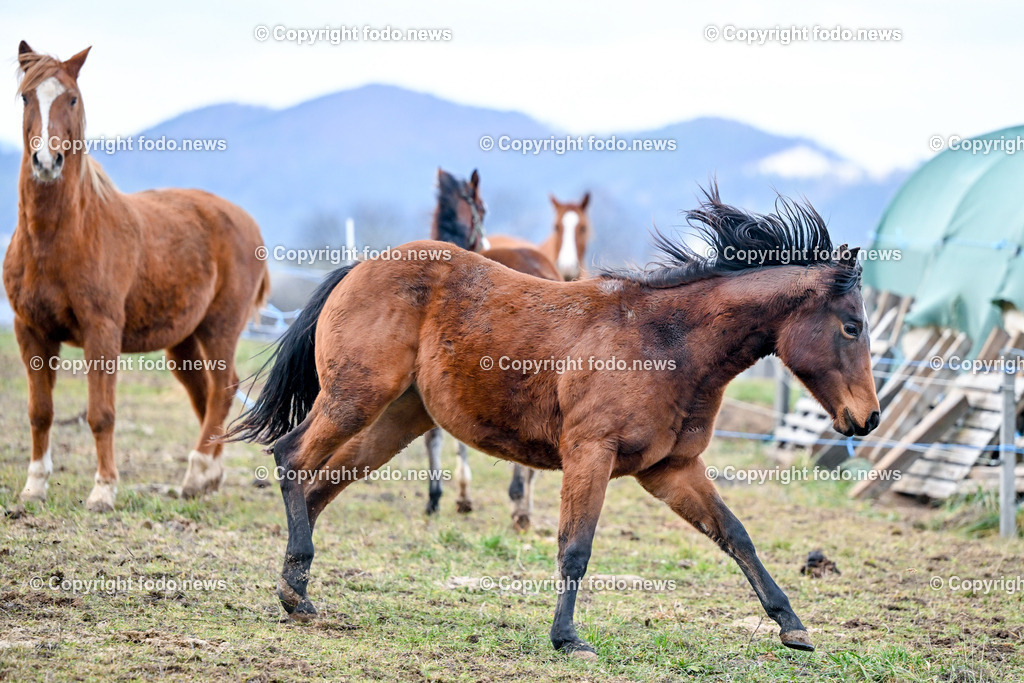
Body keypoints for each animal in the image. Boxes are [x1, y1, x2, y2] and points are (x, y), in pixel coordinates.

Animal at [6, 42, 269, 511]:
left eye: (71, 99)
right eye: (26, 98)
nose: (47, 160)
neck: (59, 237)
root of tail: (246, 222)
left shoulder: (102, 331)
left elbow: (101, 414)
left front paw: (103, 490)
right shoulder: (30, 331)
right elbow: (40, 412)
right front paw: (34, 487)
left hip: (219, 328)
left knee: (224, 387)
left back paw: (196, 471)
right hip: (183, 341)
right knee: (205, 393)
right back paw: (208, 476)